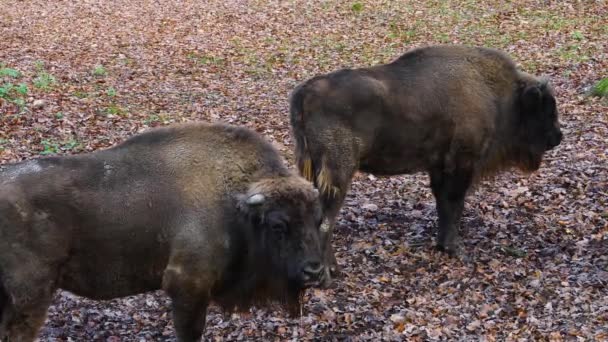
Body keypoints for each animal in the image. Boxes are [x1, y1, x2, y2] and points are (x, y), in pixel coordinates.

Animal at [0, 121, 328, 340]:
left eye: (318, 220)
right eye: (278, 225)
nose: (314, 271)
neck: (234, 202)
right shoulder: (187, 286)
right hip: (30, 297)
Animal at [290, 43, 564, 278]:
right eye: (546, 109)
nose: (558, 137)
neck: (498, 94)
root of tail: (306, 92)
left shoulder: (439, 167)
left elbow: (443, 205)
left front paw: (442, 245)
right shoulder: (461, 165)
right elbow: (454, 205)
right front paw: (455, 249)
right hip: (338, 174)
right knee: (325, 222)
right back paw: (331, 272)